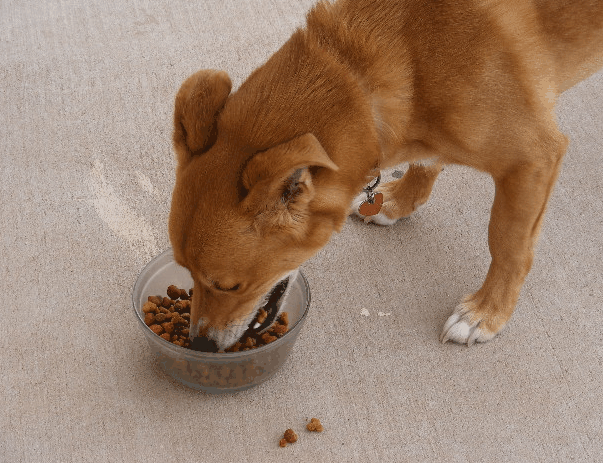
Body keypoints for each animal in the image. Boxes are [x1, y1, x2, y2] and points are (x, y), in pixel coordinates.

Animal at [169, 0, 603, 350]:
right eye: (185, 272)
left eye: (229, 286)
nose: (200, 346)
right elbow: (426, 161)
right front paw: (398, 202)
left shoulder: (533, 159)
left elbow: (508, 246)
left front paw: (486, 313)